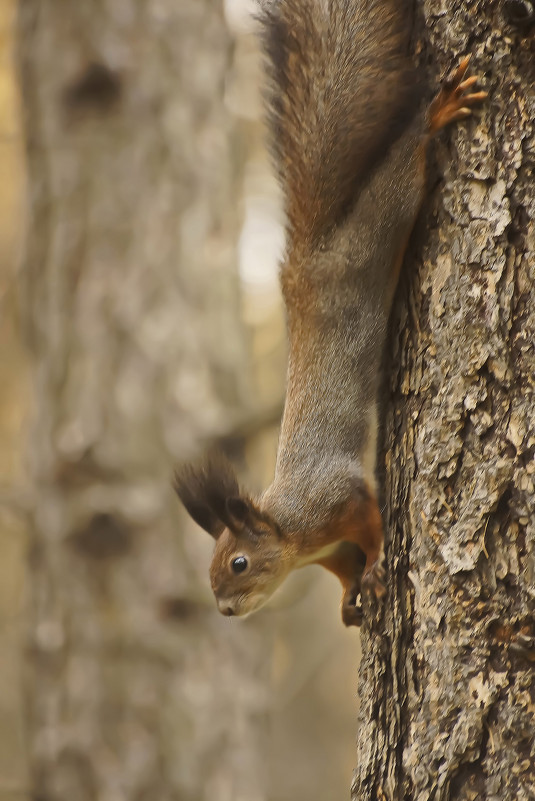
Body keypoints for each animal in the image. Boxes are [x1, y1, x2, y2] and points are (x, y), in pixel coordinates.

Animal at [174, 0, 488, 624]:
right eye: (212, 571)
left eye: (238, 563)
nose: (224, 610)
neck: (291, 530)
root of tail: (308, 258)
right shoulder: (327, 549)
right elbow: (344, 567)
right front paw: (350, 598)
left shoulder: (338, 501)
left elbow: (372, 522)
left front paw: (380, 565)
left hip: (373, 233)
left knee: (400, 175)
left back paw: (436, 114)